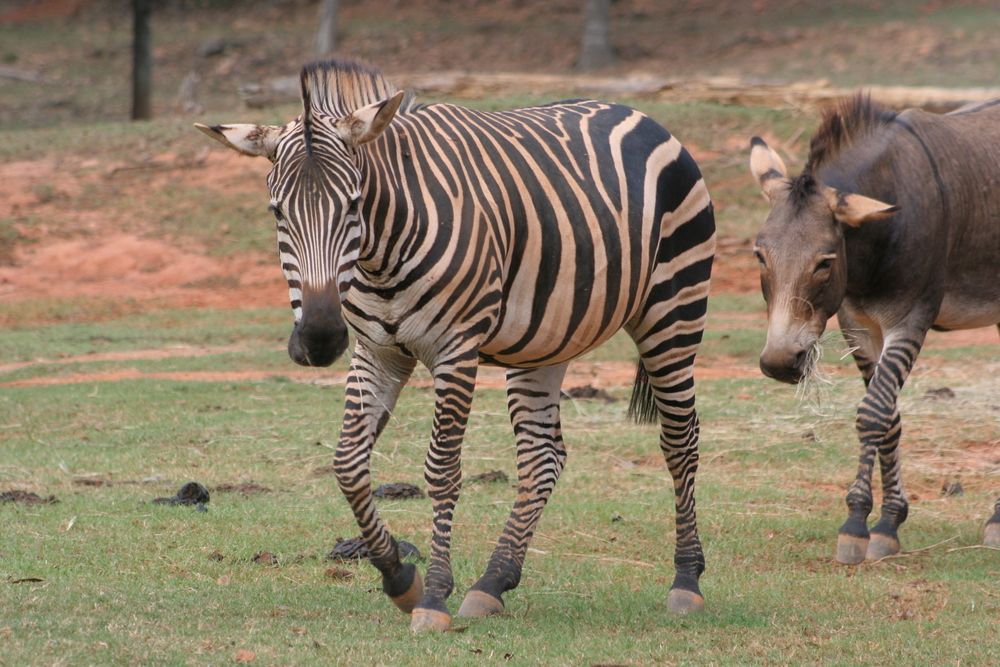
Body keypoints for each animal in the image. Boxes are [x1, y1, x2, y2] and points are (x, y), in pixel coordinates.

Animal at [196, 59, 716, 632]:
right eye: (277, 212)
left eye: (354, 206)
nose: (319, 337)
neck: (378, 256)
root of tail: (636, 112)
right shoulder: (375, 352)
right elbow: (348, 464)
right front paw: (400, 578)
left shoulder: (455, 349)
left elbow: (442, 471)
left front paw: (434, 596)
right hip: (544, 341)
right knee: (543, 456)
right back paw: (493, 582)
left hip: (673, 309)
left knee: (680, 440)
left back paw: (686, 581)